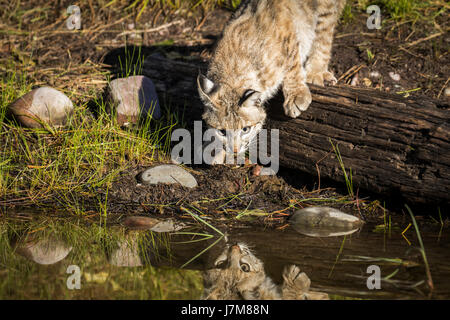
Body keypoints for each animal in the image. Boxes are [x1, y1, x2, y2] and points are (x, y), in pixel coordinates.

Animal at [198, 0, 344, 162]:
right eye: (222, 132)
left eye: (245, 129)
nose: (235, 150)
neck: (233, 74)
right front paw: (214, 149)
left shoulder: (286, 29)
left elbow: (292, 61)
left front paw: (297, 94)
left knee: (324, 31)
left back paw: (315, 71)